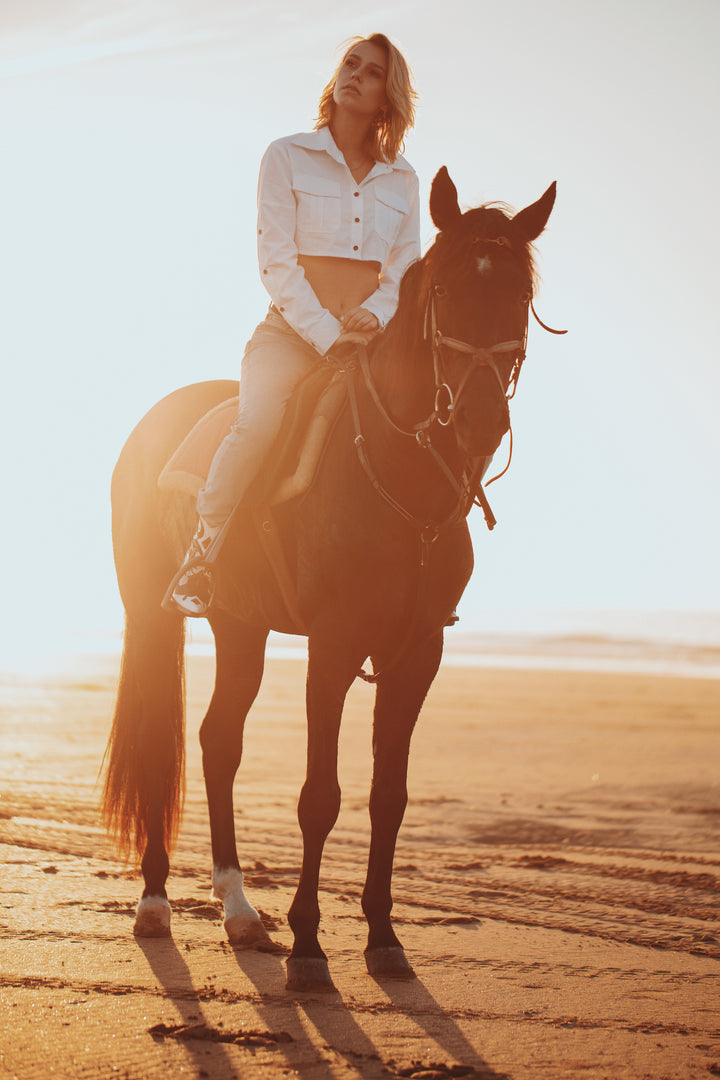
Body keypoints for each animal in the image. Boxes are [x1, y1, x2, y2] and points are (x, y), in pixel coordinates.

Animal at [104, 166, 561, 989]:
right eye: (445, 291)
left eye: (518, 293)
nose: (481, 419)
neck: (402, 484)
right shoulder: (334, 644)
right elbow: (320, 796)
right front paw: (311, 948)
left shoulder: (416, 654)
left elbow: (389, 796)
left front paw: (382, 937)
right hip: (152, 619)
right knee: (162, 743)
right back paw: (156, 903)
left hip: (241, 627)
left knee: (218, 741)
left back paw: (240, 911)